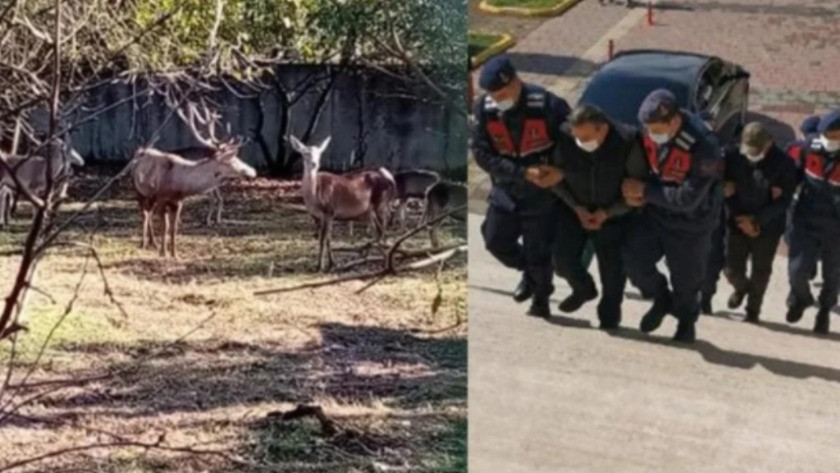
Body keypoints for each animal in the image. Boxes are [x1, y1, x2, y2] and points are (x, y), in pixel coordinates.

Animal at [131, 100, 254, 258]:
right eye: (231, 160)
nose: (252, 171)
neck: (178, 185)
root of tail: (139, 151)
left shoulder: (178, 202)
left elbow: (174, 228)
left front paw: (174, 254)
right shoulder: (162, 198)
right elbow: (165, 227)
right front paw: (163, 253)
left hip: (150, 196)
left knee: (149, 214)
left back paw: (153, 242)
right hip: (138, 190)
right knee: (145, 215)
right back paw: (144, 243)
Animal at [292, 135, 398, 272]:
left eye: (320, 153)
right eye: (305, 153)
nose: (315, 164)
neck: (313, 198)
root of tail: (392, 180)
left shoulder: (329, 211)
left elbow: (322, 239)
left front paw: (319, 266)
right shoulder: (318, 216)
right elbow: (327, 239)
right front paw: (331, 263)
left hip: (380, 203)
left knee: (382, 229)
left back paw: (377, 256)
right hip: (372, 209)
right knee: (380, 229)